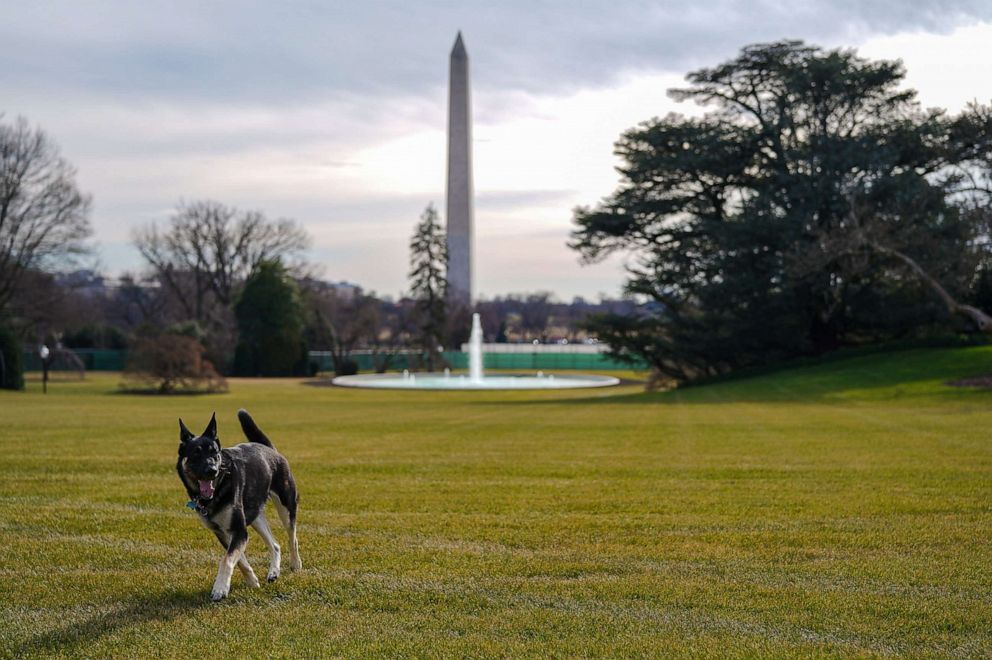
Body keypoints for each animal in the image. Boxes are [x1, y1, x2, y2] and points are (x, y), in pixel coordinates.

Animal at [177, 408, 302, 600]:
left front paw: (220, 588)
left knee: (292, 537)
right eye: (196, 454)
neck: (218, 488)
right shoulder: (223, 532)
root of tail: (270, 449)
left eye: (215, 453)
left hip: (286, 506)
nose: (212, 471)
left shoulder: (239, 530)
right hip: (255, 516)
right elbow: (239, 560)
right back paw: (273, 572)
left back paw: (295, 564)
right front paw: (252, 581)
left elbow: (226, 559)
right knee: (275, 545)